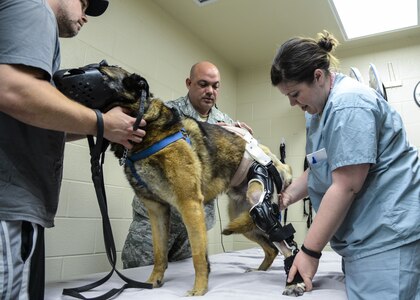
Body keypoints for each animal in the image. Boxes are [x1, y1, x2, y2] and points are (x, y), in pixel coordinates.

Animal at [55, 62, 306, 296]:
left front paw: (199, 289)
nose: (57, 76)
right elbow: (159, 254)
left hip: (257, 200)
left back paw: (295, 282)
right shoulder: (156, 210)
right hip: (242, 216)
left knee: (287, 245)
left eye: (102, 72)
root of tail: (275, 158)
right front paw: (152, 282)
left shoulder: (189, 204)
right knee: (272, 248)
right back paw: (259, 271)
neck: (147, 129)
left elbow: (198, 256)